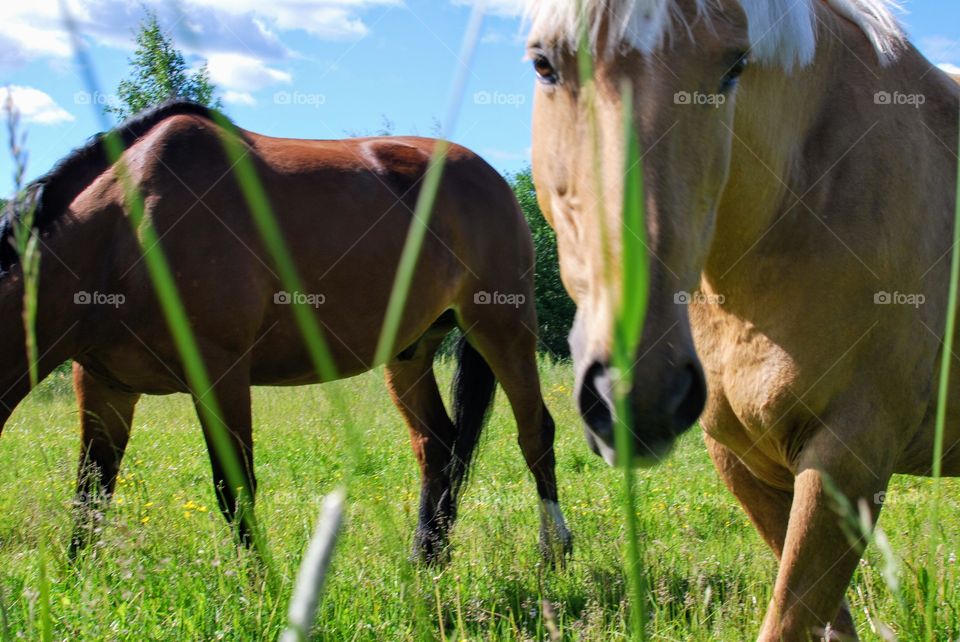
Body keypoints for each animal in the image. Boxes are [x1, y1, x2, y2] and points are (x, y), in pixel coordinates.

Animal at [0, 99, 568, 560]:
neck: (124, 231)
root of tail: (494, 178)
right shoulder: (103, 384)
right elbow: (90, 493)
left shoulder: (220, 375)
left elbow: (234, 490)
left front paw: (263, 591)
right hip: (410, 351)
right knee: (438, 445)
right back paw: (427, 557)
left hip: (503, 328)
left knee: (535, 432)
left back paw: (554, 551)